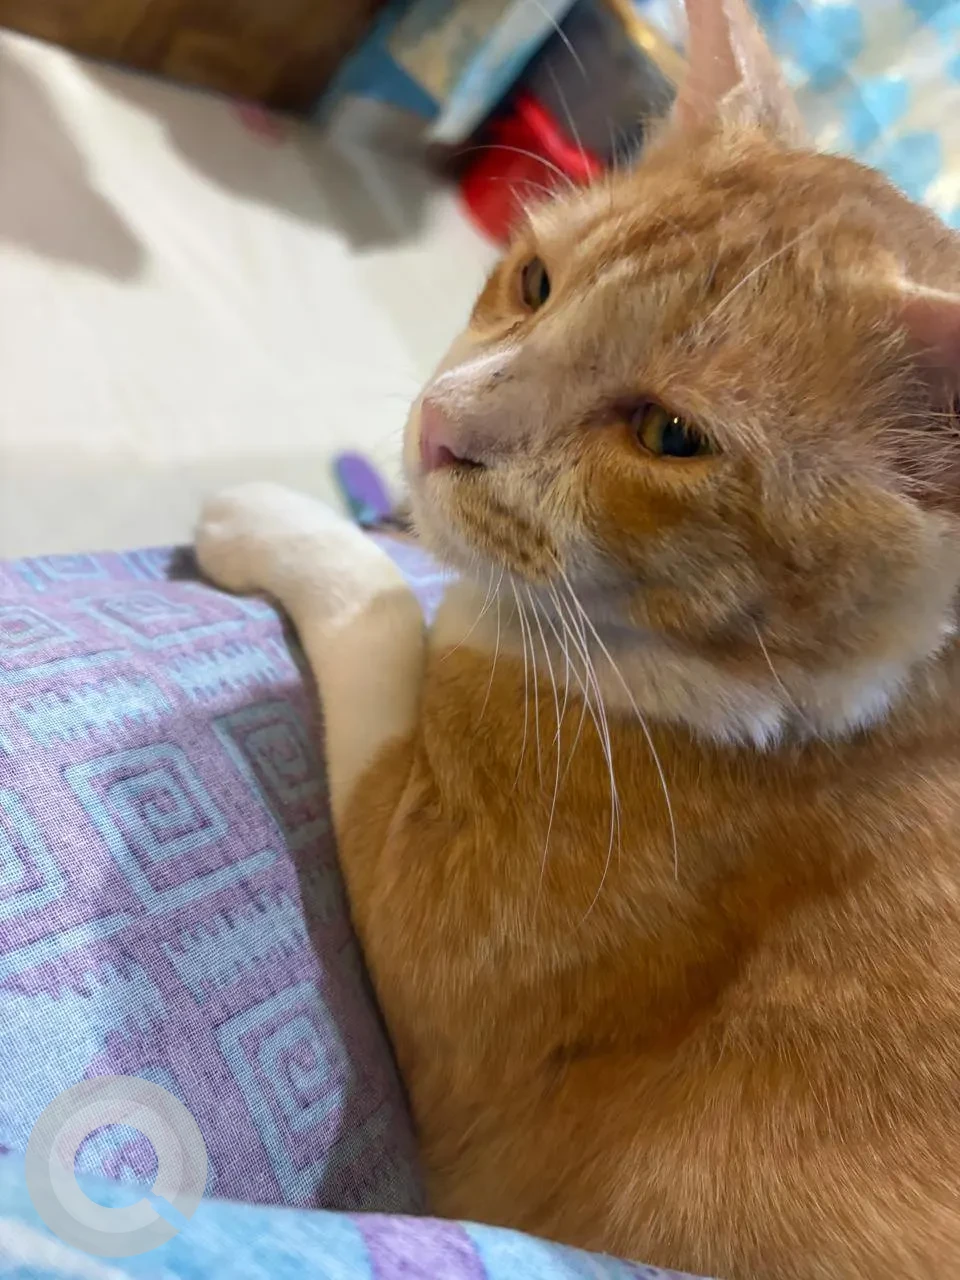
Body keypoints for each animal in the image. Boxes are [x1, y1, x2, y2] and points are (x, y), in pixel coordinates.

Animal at [195, 0, 960, 1275]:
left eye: (669, 435)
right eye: (536, 279)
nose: (437, 428)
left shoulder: (439, 918)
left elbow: (385, 606)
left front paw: (274, 520)